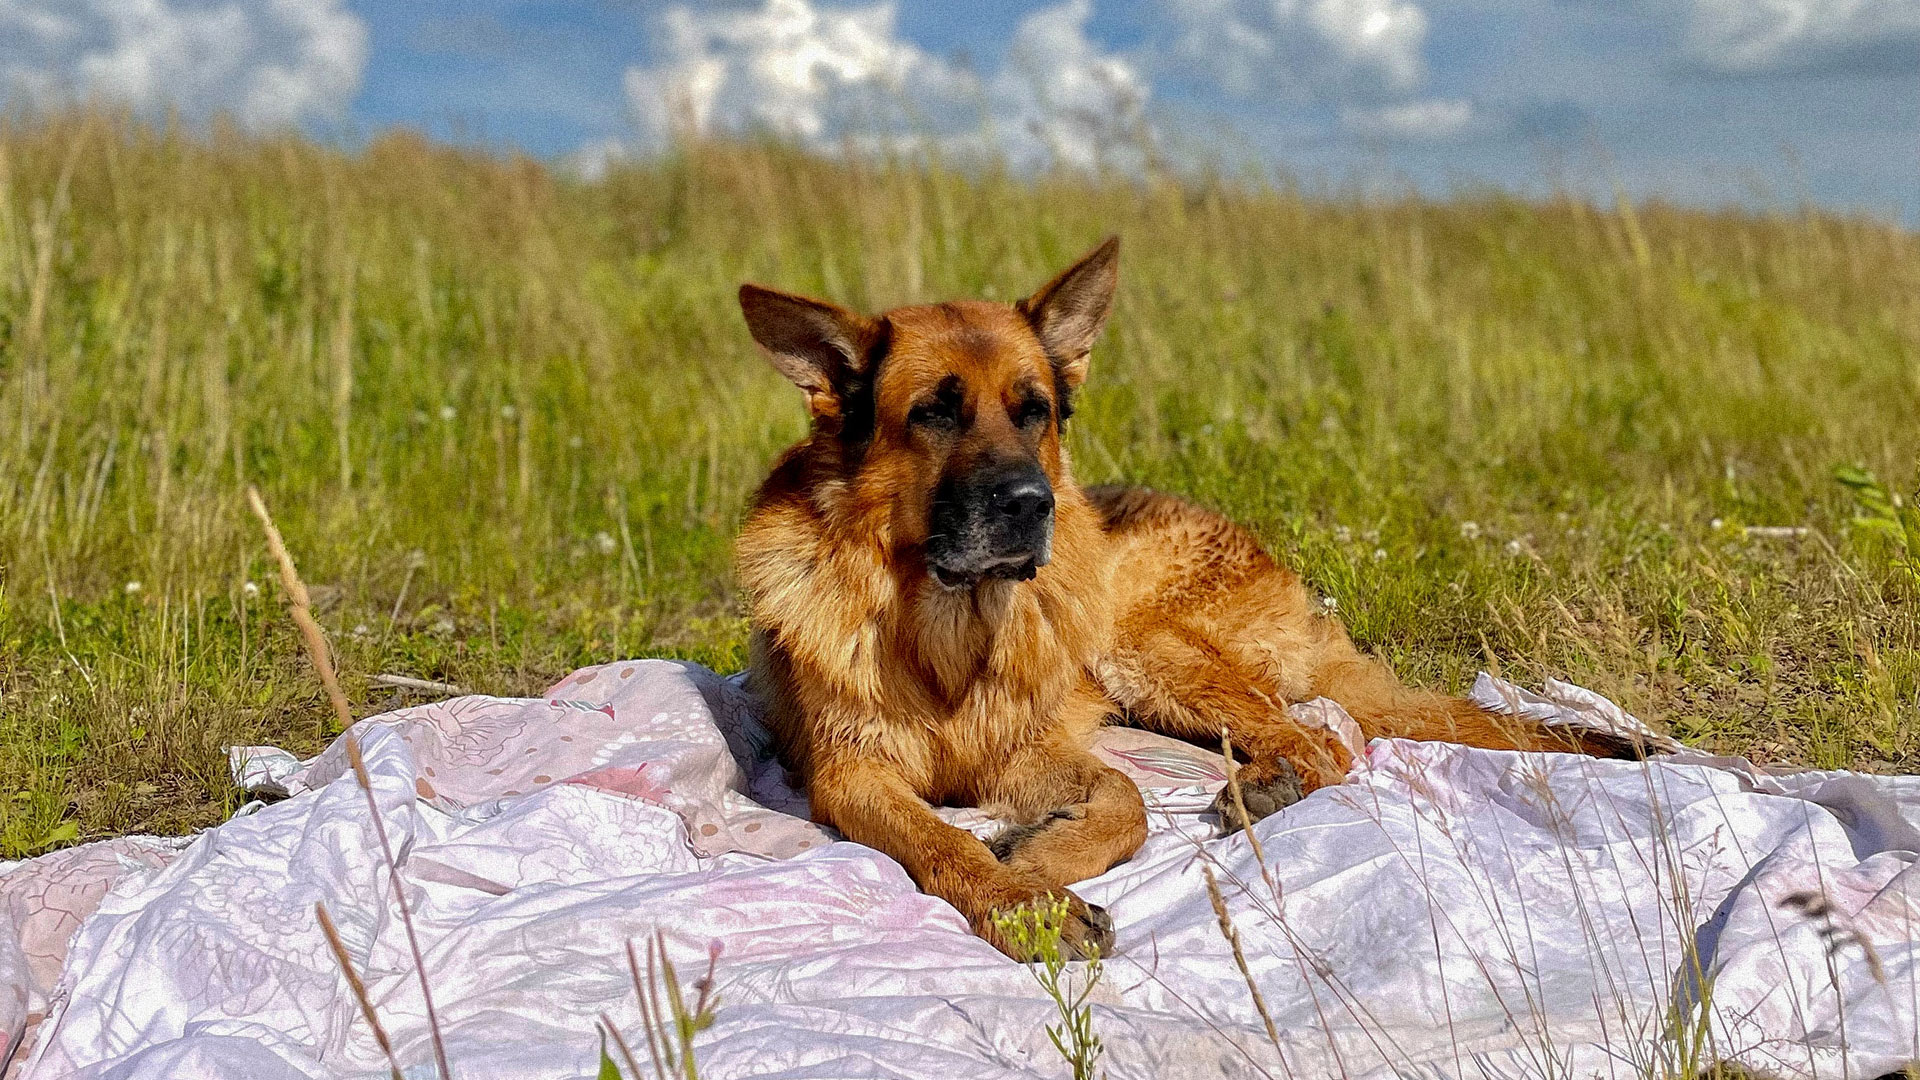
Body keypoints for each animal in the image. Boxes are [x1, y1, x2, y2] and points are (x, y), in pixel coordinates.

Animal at [733, 239, 1635, 953]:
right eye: (934, 414)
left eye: (1034, 412)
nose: (1034, 505)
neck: (949, 628)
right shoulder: (852, 775)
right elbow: (941, 840)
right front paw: (1022, 902)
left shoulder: (1029, 748)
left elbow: (1127, 801)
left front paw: (1038, 866)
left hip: (1141, 645)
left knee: (1322, 738)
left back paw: (1269, 786)